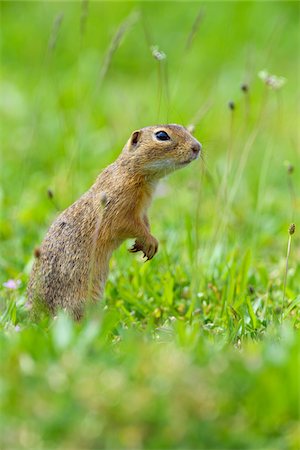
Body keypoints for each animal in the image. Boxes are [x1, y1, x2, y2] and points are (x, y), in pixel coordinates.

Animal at [28, 124, 202, 320]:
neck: (132, 172)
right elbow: (129, 225)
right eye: (162, 135)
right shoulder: (120, 207)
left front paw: (144, 245)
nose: (197, 147)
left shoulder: (143, 212)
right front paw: (150, 242)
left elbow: (145, 224)